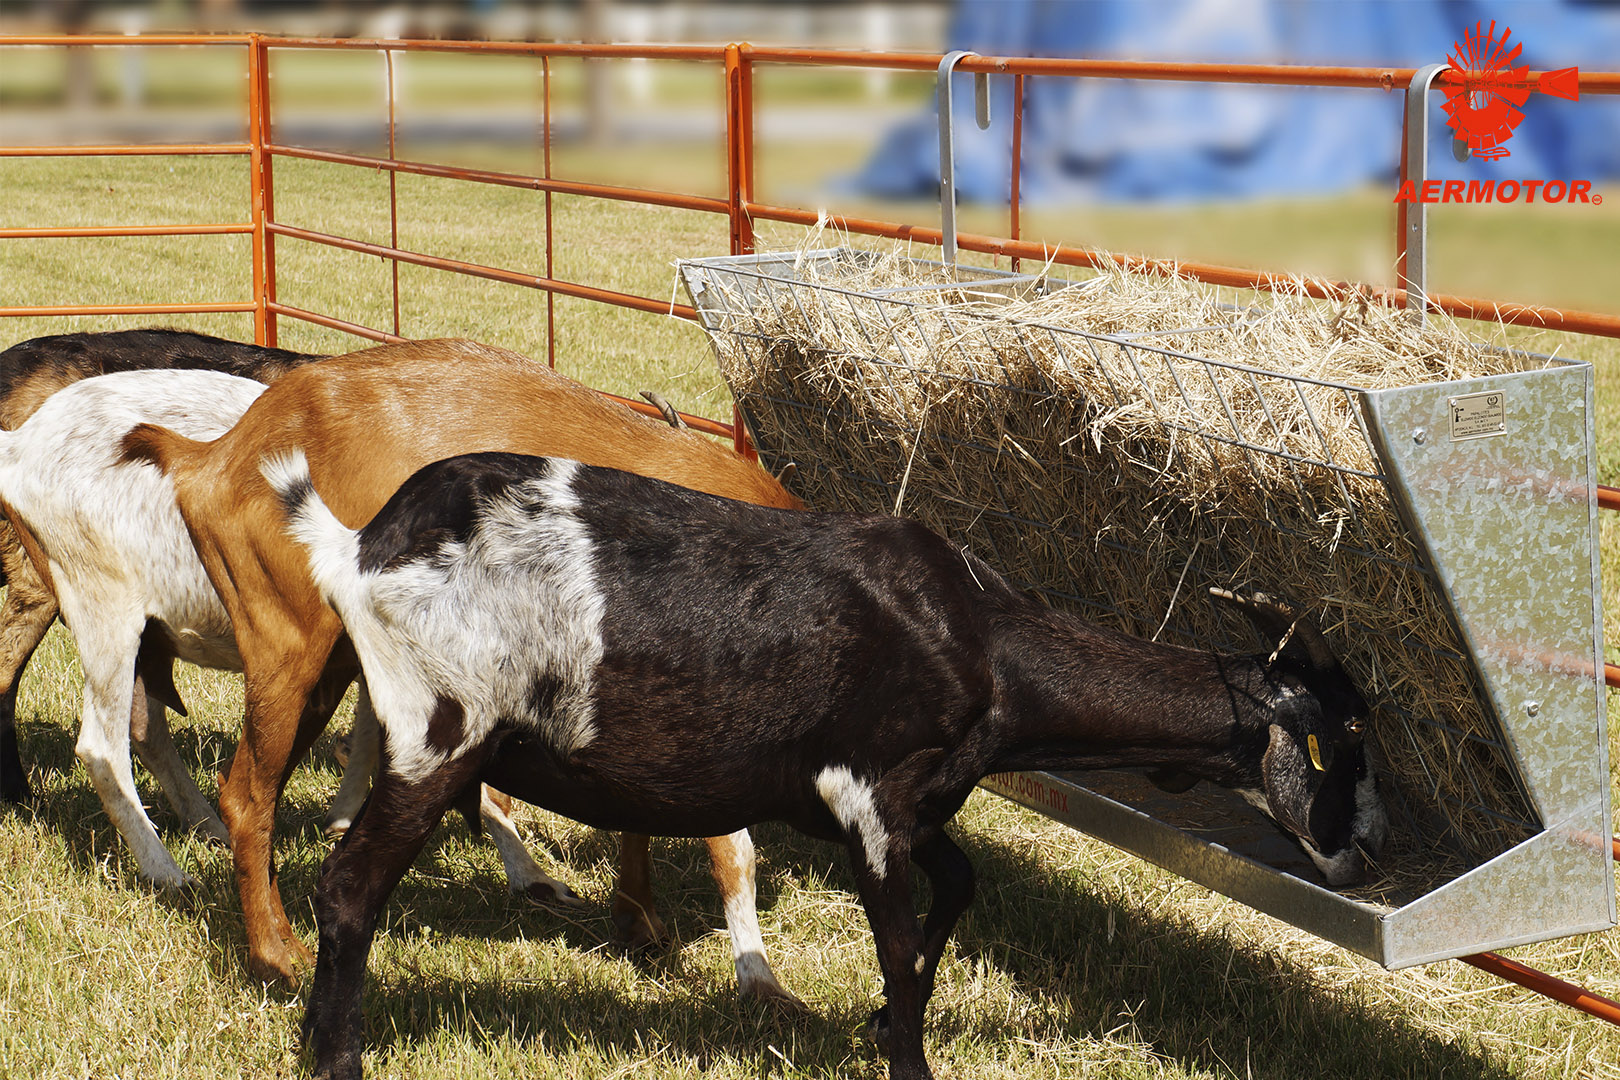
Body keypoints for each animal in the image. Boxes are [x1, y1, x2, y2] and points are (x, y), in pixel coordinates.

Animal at [123, 335, 806, 990]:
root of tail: (216, 456)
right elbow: (733, 855)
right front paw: (761, 983)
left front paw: (638, 920)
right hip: (288, 646)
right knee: (246, 797)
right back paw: (274, 956)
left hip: (333, 663)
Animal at [272, 450, 1386, 1080]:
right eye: (1339, 740)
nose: (1363, 855)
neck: (988, 646)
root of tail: (363, 544)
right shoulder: (871, 799)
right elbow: (895, 938)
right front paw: (907, 1053)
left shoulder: (913, 805)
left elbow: (957, 893)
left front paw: (888, 1019)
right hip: (439, 731)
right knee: (348, 889)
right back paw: (337, 1059)